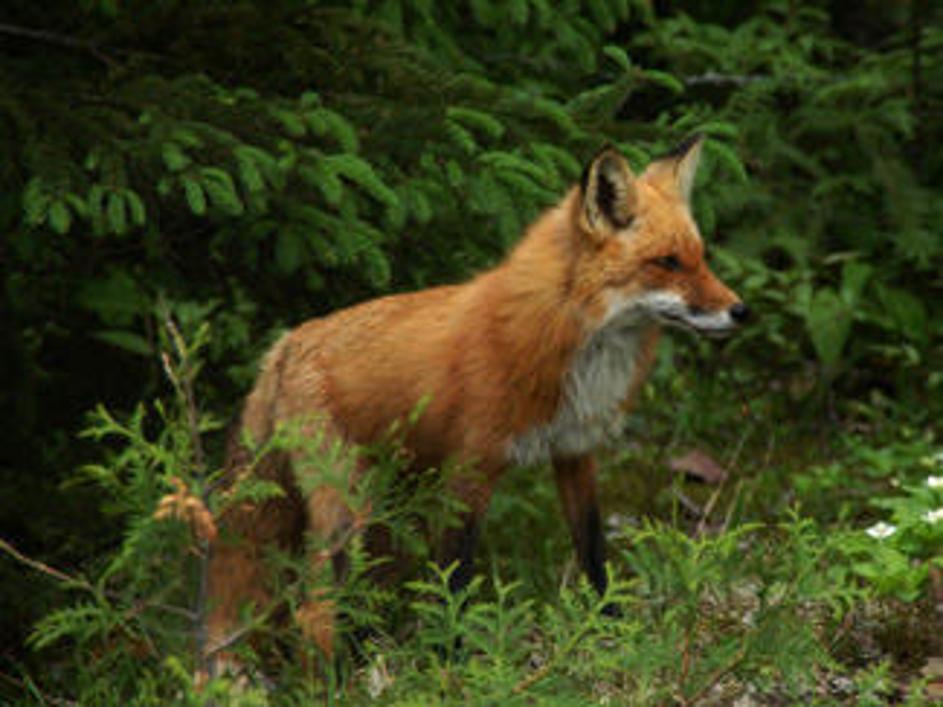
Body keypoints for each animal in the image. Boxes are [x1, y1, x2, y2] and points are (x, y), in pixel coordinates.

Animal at [205, 136, 744, 672]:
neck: (568, 333)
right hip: (347, 508)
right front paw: (451, 665)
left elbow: (593, 554)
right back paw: (338, 680)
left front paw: (612, 633)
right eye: (668, 262)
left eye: (701, 257)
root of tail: (283, 345)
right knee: (313, 610)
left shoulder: (573, 451)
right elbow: (454, 579)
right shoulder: (471, 467)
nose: (741, 311)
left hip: (377, 508)